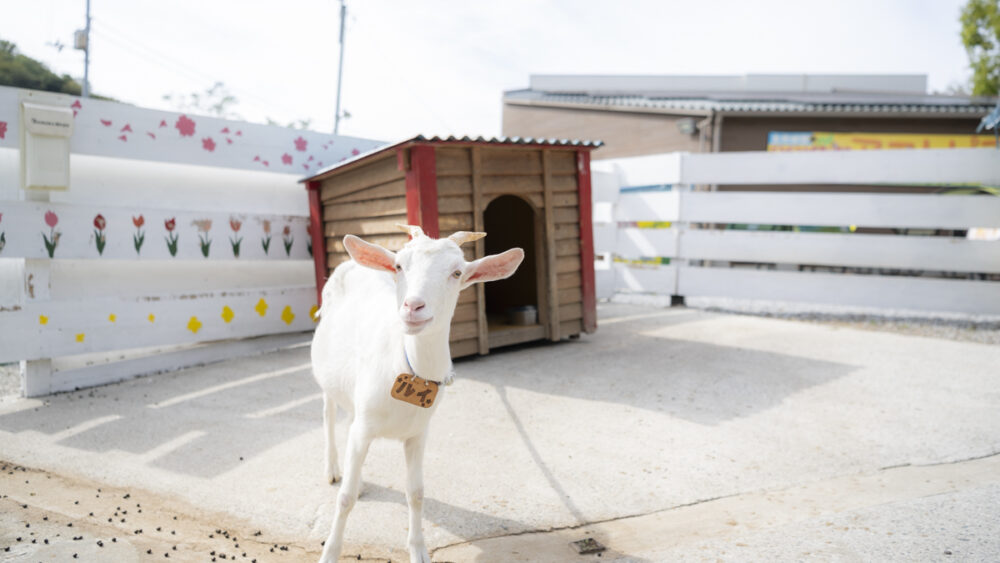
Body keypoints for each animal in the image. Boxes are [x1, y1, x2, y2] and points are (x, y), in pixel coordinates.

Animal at [312, 225, 524, 563]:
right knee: (329, 412)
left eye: (456, 272)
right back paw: (333, 469)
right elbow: (345, 499)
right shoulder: (365, 427)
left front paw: (419, 550)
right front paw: (329, 554)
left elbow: (416, 494)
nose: (413, 307)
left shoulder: (417, 433)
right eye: (399, 266)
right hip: (326, 376)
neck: (405, 365)